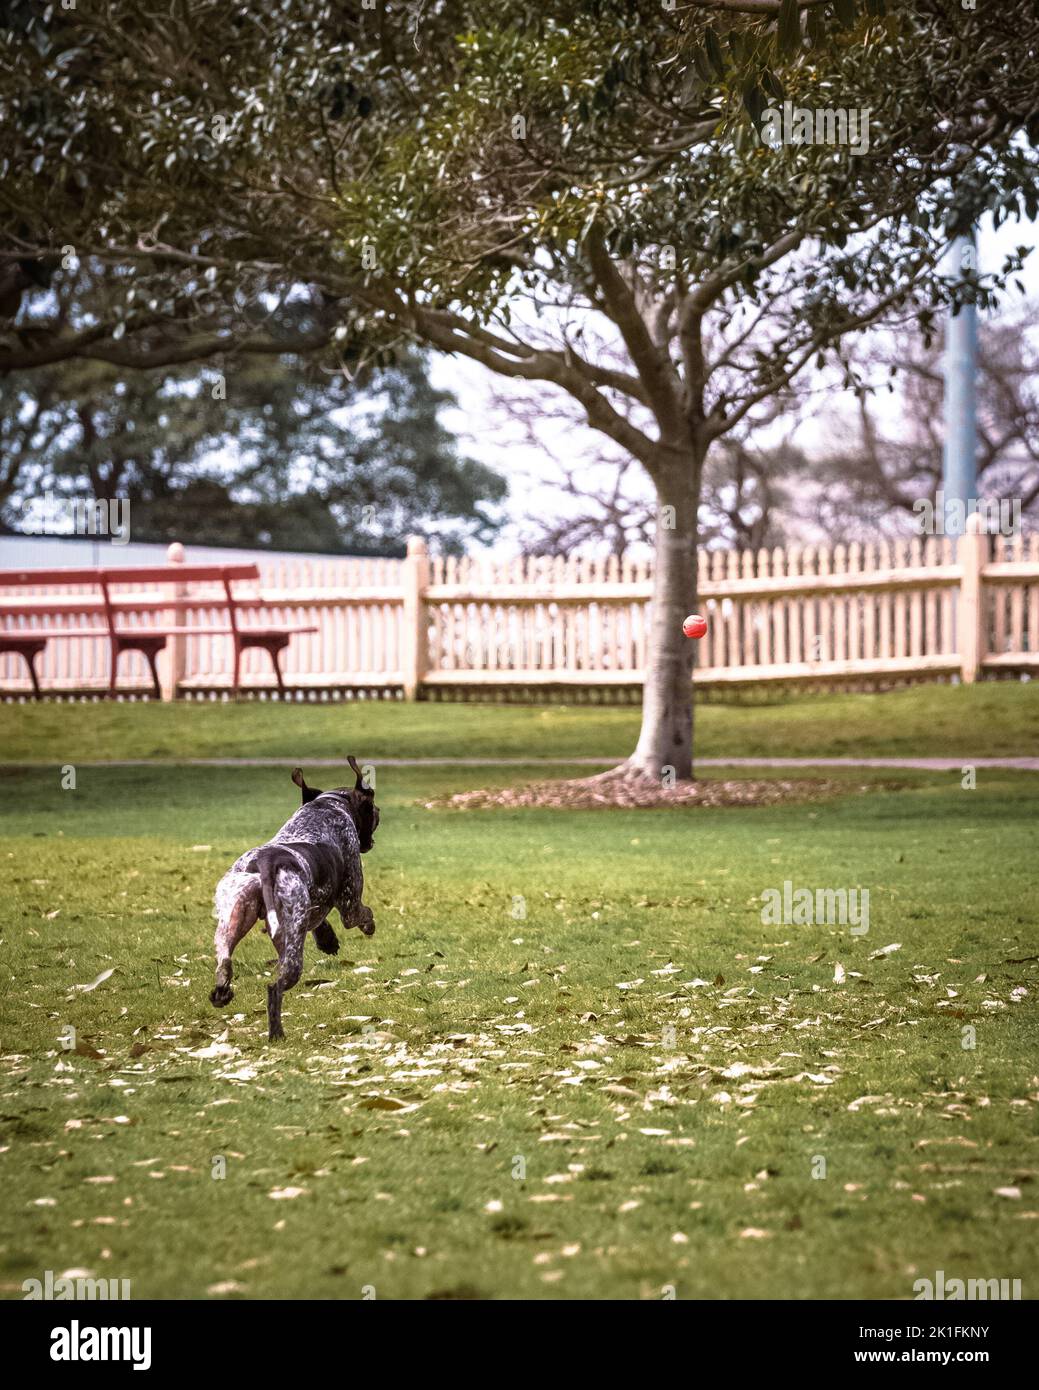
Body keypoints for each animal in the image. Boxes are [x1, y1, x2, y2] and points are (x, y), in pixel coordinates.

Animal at [210, 761, 378, 1045]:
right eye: (375, 811)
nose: (377, 814)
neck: (326, 806)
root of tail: (263, 864)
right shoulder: (350, 905)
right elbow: (361, 913)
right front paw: (368, 925)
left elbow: (320, 921)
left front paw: (327, 940)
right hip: (291, 950)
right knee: (274, 988)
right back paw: (276, 1032)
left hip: (232, 923)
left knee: (225, 962)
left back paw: (222, 992)